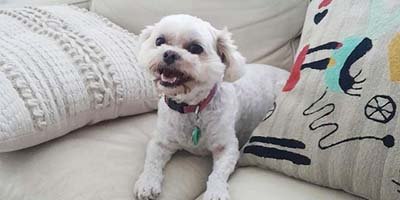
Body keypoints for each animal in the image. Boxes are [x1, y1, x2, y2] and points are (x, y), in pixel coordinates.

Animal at [134, 14, 288, 200]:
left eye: (195, 48)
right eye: (159, 41)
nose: (169, 53)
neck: (192, 107)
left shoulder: (227, 147)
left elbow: (218, 174)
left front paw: (216, 192)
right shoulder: (160, 141)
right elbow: (151, 162)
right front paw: (147, 182)